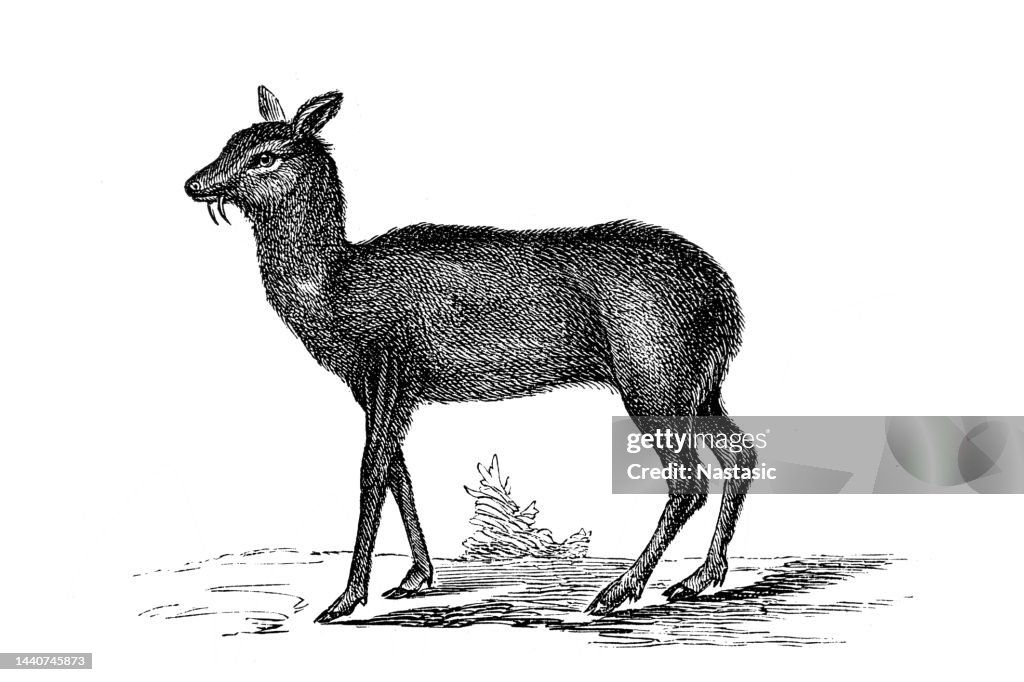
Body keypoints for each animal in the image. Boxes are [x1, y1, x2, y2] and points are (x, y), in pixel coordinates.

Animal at [184, 86, 757, 623]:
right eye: (231, 141)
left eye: (265, 155)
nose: (193, 183)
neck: (333, 291)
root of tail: (727, 302)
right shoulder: (381, 387)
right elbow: (399, 471)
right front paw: (415, 577)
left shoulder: (387, 359)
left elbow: (371, 470)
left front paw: (346, 598)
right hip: (700, 383)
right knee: (741, 452)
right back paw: (700, 578)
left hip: (652, 375)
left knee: (689, 481)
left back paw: (618, 591)